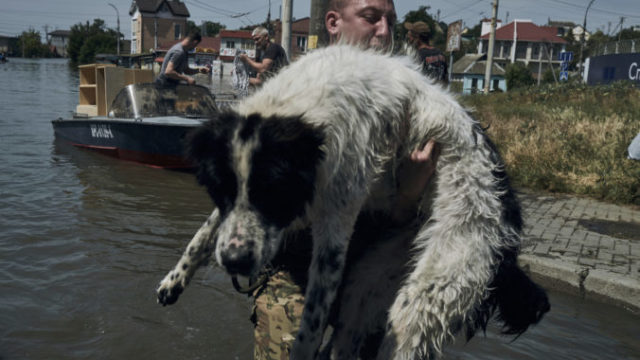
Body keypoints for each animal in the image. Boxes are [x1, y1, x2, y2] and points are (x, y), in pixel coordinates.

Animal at [156, 45, 552, 360]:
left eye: (274, 192)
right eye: (220, 190)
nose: (236, 261)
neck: (300, 109)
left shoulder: (335, 224)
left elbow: (311, 324)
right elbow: (205, 233)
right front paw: (175, 280)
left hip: (434, 288)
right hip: (370, 281)